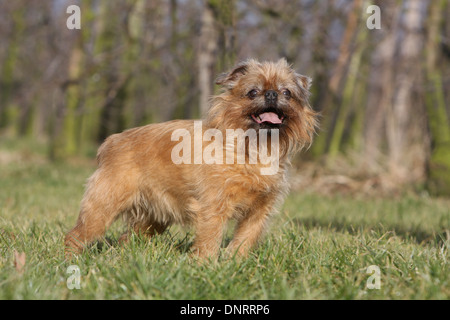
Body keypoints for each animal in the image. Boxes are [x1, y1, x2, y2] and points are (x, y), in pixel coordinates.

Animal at [65, 58, 318, 260]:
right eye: (253, 92)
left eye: (287, 93)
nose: (272, 93)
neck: (253, 148)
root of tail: (112, 142)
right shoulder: (214, 207)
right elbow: (210, 239)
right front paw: (205, 266)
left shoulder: (258, 212)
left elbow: (245, 239)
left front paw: (235, 263)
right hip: (102, 208)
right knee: (75, 235)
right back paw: (70, 260)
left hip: (153, 218)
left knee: (127, 238)